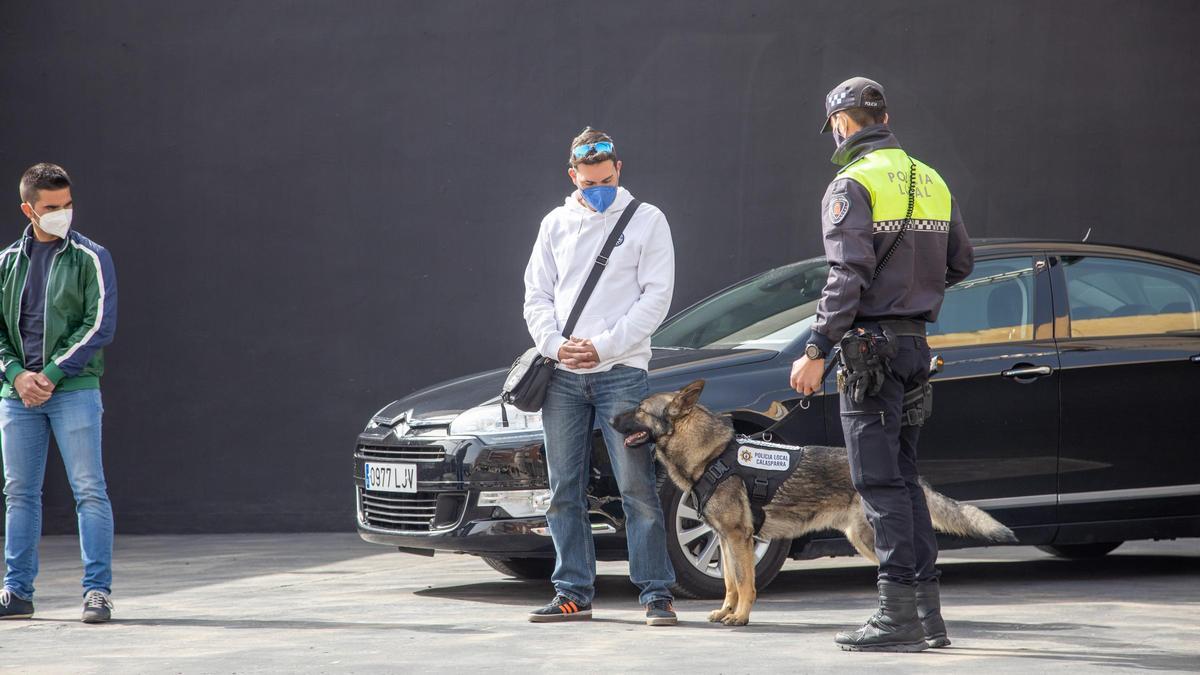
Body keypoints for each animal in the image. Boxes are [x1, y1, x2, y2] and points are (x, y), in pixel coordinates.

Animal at [614, 379, 1017, 624]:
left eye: (639, 409)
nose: (611, 418)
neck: (712, 454)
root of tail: (905, 473)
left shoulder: (739, 539)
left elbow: (745, 583)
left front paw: (741, 617)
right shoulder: (727, 541)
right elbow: (730, 581)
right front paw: (726, 611)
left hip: (871, 540)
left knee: (916, 572)